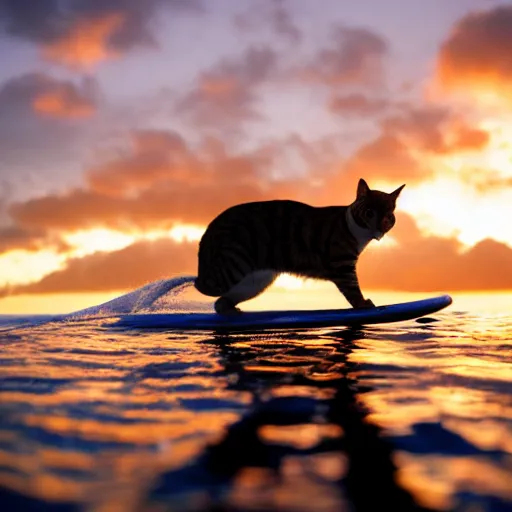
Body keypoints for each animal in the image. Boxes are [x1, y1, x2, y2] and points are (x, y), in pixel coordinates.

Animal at [194, 180, 406, 316]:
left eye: (389, 218)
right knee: (203, 284)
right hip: (236, 263)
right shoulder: (343, 267)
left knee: (220, 302)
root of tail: (211, 227)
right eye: (370, 213)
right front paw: (363, 305)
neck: (356, 232)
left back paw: (229, 309)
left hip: (255, 282)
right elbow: (354, 291)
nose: (380, 228)